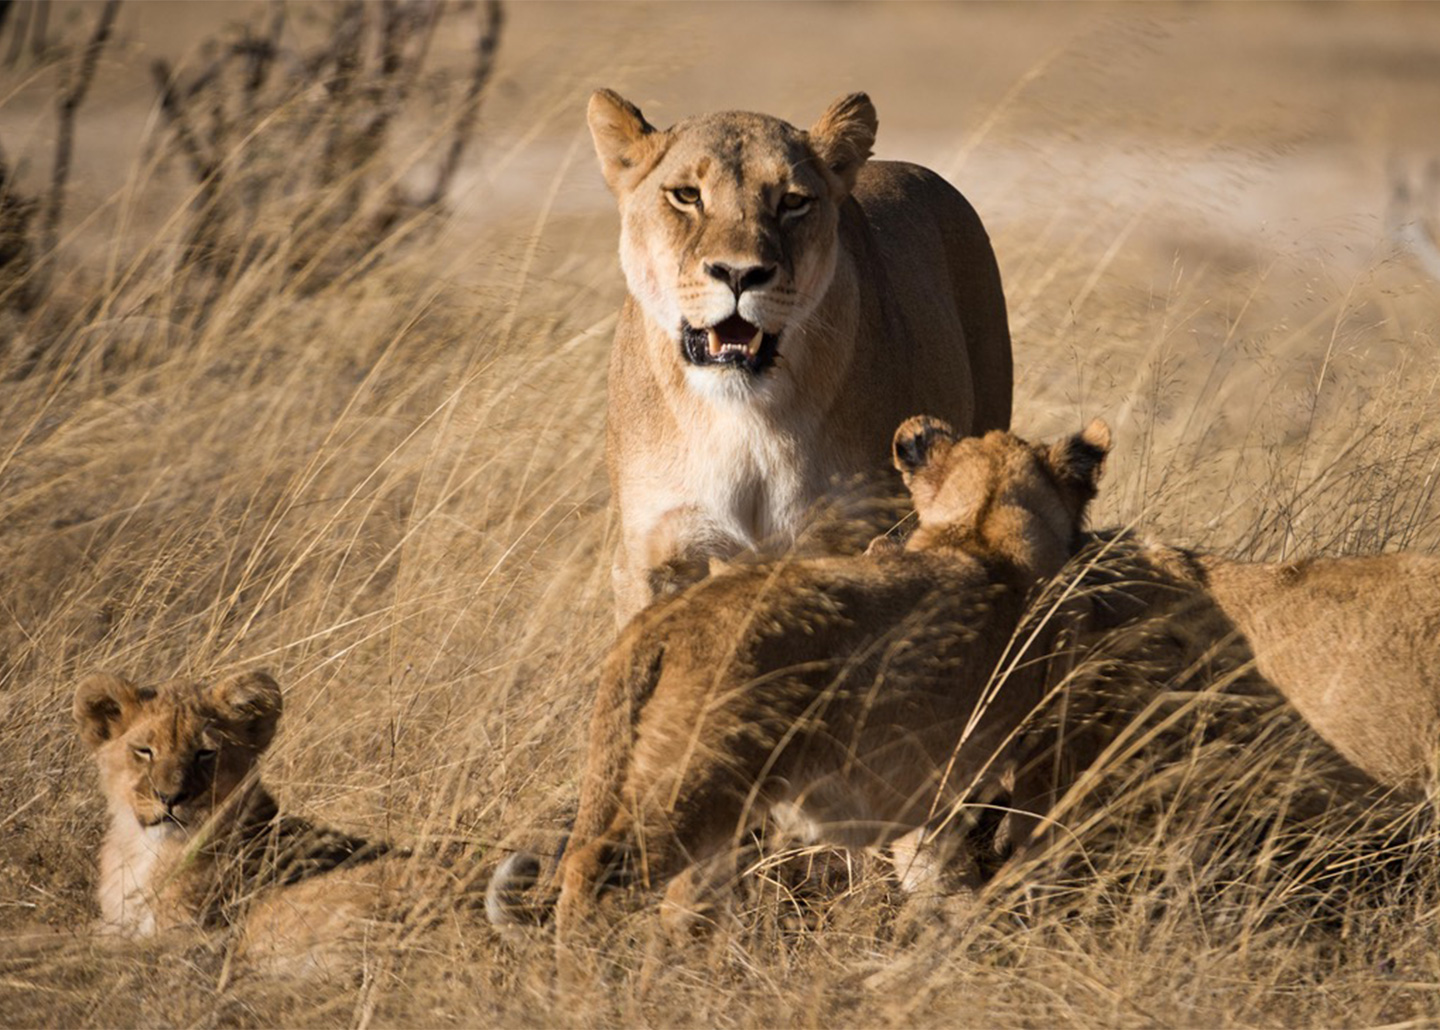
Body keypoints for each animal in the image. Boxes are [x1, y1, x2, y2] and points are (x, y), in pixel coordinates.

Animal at [488, 416, 1110, 939]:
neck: (981, 529)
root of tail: (664, 618)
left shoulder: (928, 782)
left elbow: (933, 866)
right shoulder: (1031, 753)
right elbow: (1028, 843)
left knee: (667, 890)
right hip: (701, 780)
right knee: (596, 866)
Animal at [590, 89, 1013, 621]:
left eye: (791, 201)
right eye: (686, 195)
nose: (739, 273)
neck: (739, 418)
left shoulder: (848, 538)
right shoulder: (651, 558)